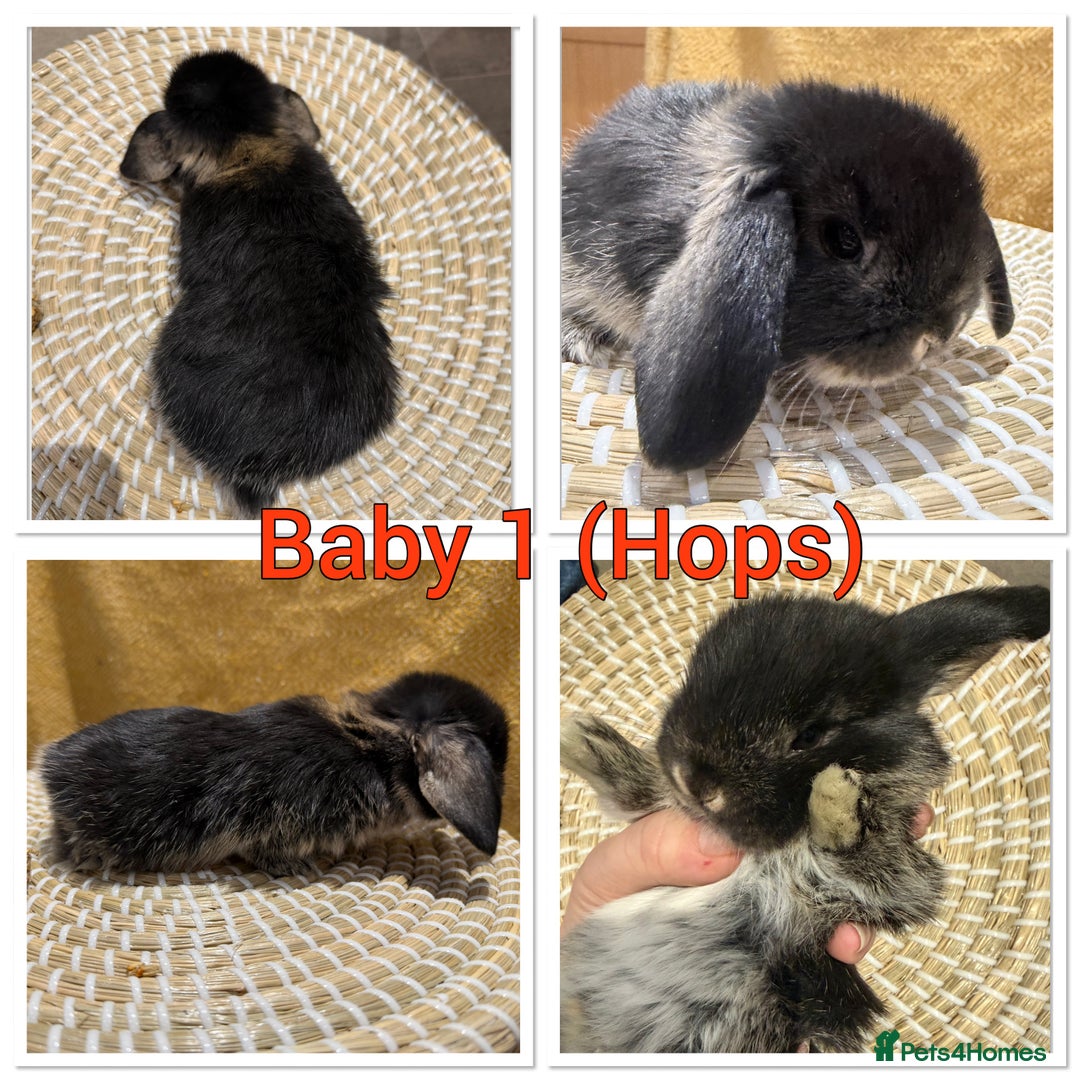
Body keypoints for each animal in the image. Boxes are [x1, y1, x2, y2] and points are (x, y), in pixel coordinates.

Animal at [561, 585, 1049, 1052]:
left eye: (810, 735)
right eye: (693, 677)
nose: (694, 781)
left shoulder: (884, 886)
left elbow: (865, 855)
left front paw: (835, 794)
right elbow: (635, 795)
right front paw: (580, 738)